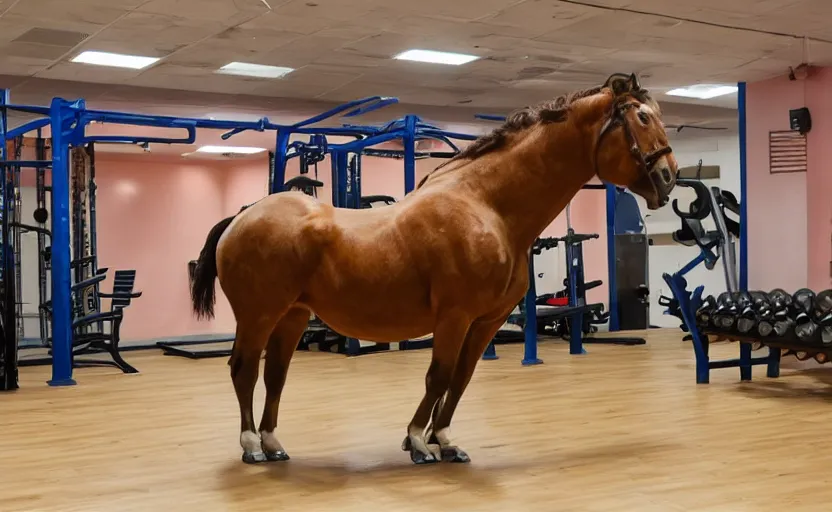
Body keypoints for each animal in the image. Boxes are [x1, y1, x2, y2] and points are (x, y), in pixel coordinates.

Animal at [192, 73, 680, 468]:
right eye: (641, 117)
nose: (669, 177)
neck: (486, 205)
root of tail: (240, 218)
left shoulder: (486, 321)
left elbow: (461, 377)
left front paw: (443, 440)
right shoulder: (454, 315)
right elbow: (439, 375)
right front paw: (417, 442)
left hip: (292, 316)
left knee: (275, 373)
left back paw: (273, 443)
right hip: (258, 315)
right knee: (243, 368)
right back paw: (251, 446)